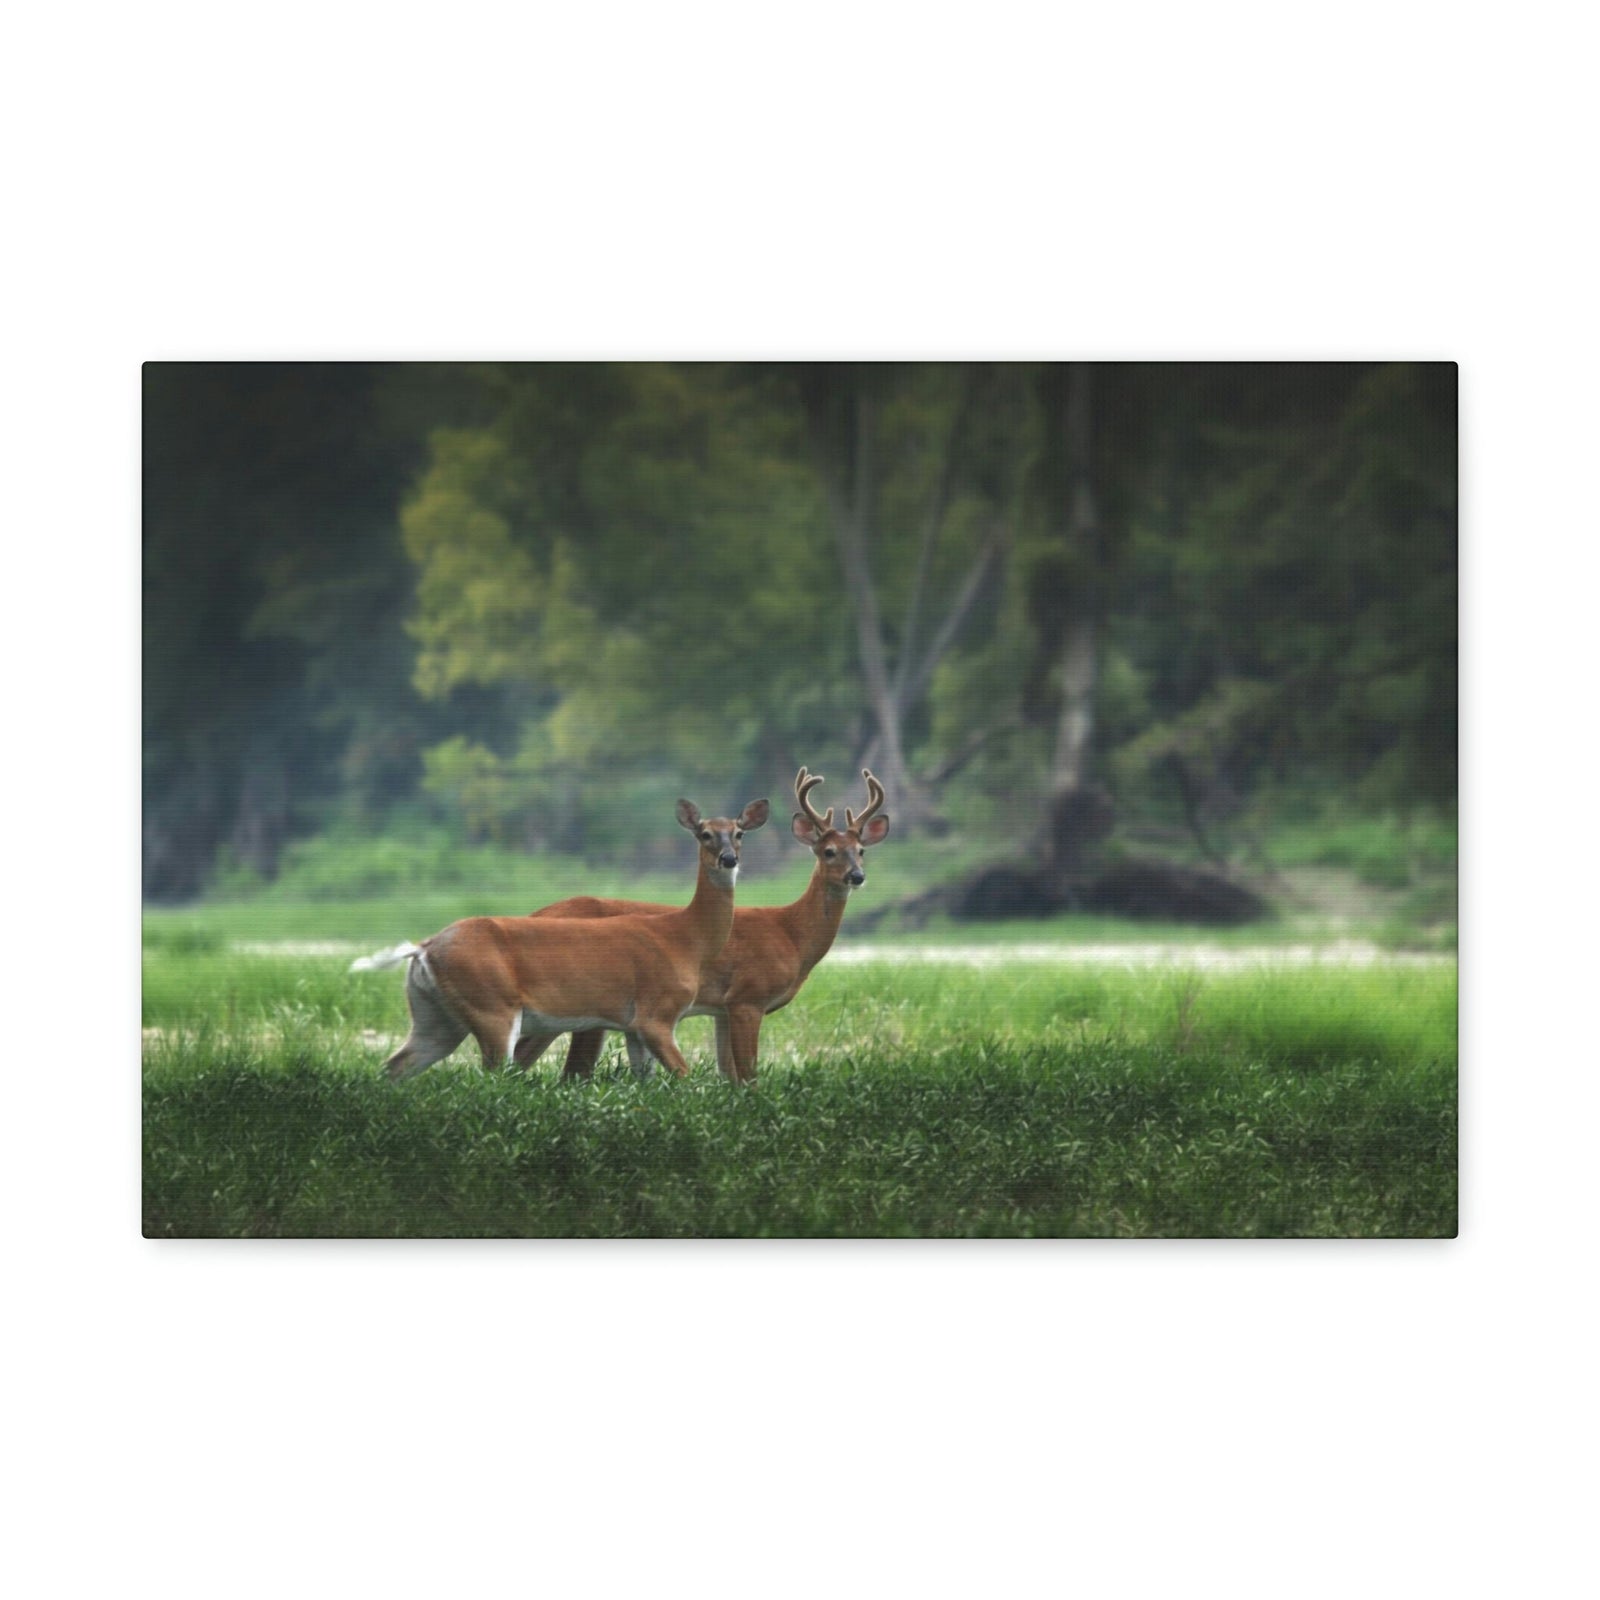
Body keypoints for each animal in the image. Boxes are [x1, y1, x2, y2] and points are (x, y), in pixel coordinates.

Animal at [349, 796, 770, 1081]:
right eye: (704, 834)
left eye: (739, 833)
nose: (729, 859)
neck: (685, 938)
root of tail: (423, 949)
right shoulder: (657, 1013)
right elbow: (683, 1078)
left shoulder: (633, 1026)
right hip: (493, 1007)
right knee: (491, 1077)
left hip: (435, 1017)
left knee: (395, 1066)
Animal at [513, 768, 890, 1084]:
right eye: (828, 851)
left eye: (861, 850)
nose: (856, 876)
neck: (791, 934)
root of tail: (534, 914)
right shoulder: (747, 997)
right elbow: (748, 1075)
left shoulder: (722, 1010)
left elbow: (729, 1075)